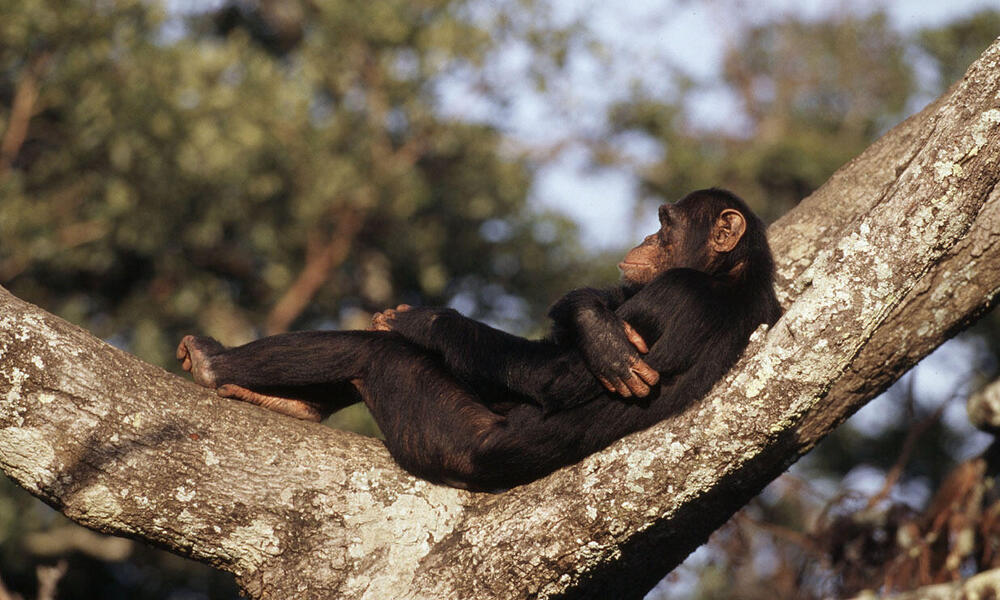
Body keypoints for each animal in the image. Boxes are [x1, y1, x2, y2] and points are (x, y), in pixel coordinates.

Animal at [176, 189, 780, 492]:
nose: (649, 236)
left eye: (667, 224)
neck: (730, 274)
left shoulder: (676, 295)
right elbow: (583, 319)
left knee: (373, 354)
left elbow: (556, 377)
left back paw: (215, 363)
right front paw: (595, 323)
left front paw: (422, 320)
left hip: (436, 434)